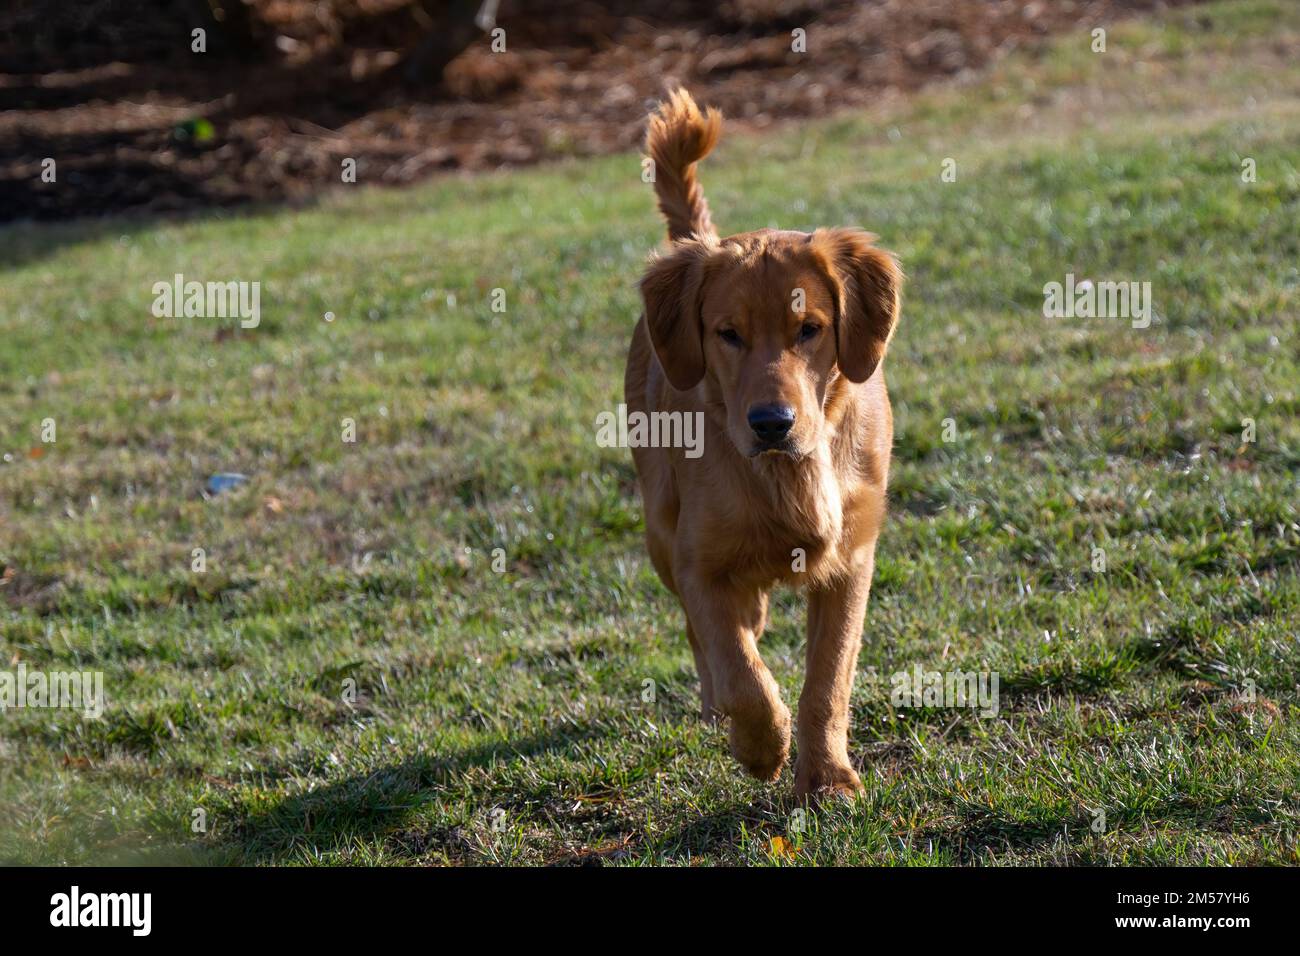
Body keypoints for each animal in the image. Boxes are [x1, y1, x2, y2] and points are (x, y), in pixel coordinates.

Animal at [624, 89, 899, 806]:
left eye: (809, 329)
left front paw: (825, 777)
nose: (772, 422)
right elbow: (740, 671)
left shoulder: (851, 561)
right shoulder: (697, 562)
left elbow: (826, 680)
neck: (785, 475)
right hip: (659, 528)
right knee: (711, 636)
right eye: (728, 334)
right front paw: (760, 746)